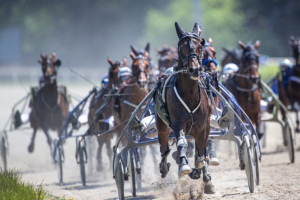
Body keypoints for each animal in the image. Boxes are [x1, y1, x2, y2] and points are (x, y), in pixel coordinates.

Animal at [155, 21, 216, 194]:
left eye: (200, 46)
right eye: (181, 48)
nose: (194, 69)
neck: (189, 95)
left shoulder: (202, 126)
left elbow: (202, 151)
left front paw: (203, 174)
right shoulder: (177, 123)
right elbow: (182, 143)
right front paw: (184, 166)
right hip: (162, 126)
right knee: (164, 148)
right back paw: (165, 166)